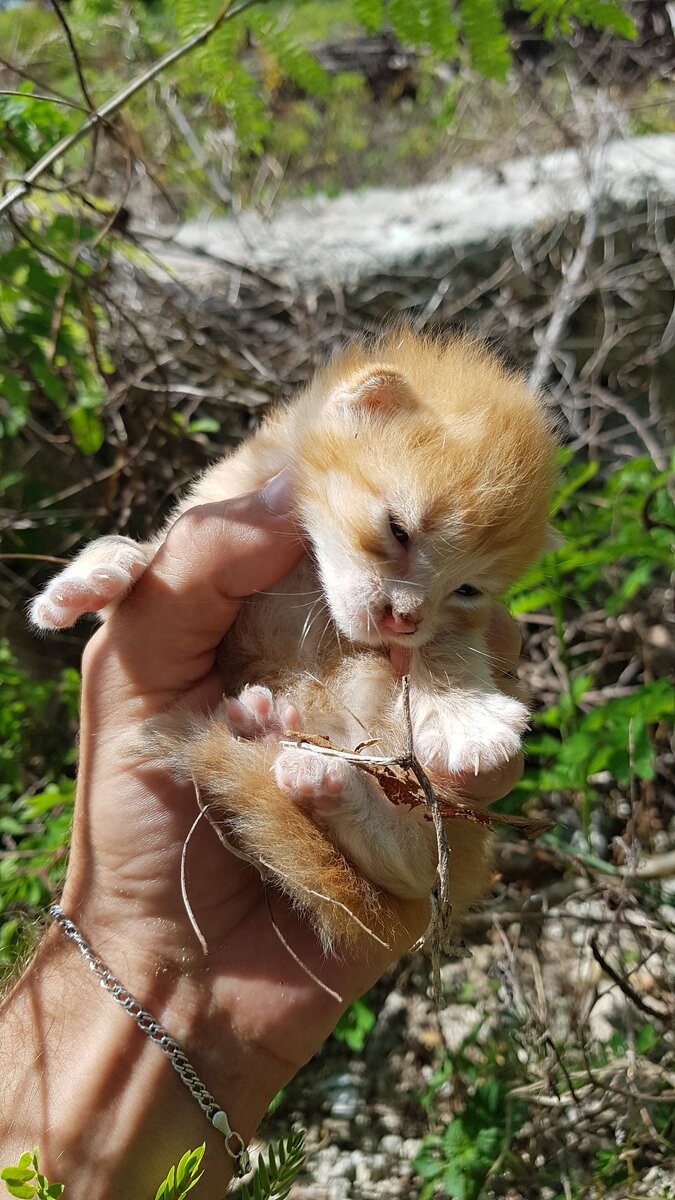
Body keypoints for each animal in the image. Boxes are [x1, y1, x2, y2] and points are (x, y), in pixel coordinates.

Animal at [31, 328, 554, 955]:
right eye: (398, 530)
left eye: (468, 588)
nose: (403, 619)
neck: (309, 575)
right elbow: (144, 557)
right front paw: (91, 575)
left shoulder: (454, 625)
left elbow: (448, 643)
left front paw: (463, 718)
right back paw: (272, 734)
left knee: (414, 868)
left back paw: (324, 781)